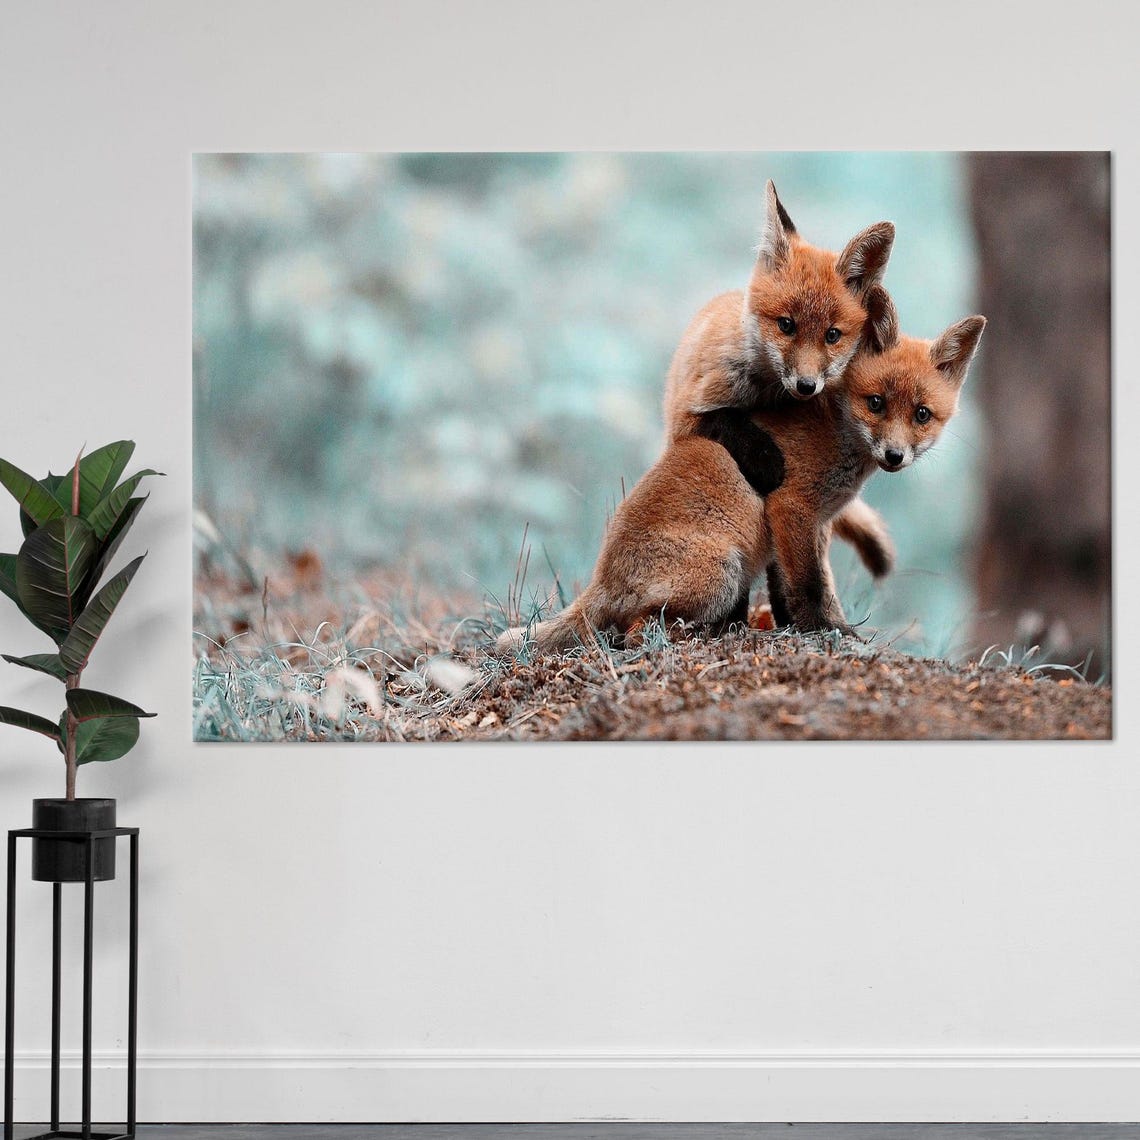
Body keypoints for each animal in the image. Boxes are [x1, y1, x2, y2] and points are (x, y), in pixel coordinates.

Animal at [495, 288, 985, 656]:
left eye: (922, 414)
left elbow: (796, 587)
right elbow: (809, 587)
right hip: (722, 574)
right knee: (633, 632)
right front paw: (828, 632)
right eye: (876, 403)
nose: (895, 455)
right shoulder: (791, 508)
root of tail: (602, 577)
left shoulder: (814, 524)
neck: (837, 429)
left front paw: (806, 627)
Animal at [665, 179, 898, 579]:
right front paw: (766, 458)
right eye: (786, 325)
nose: (807, 385)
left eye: (832, 335)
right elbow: (725, 419)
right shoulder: (689, 417)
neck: (766, 394)